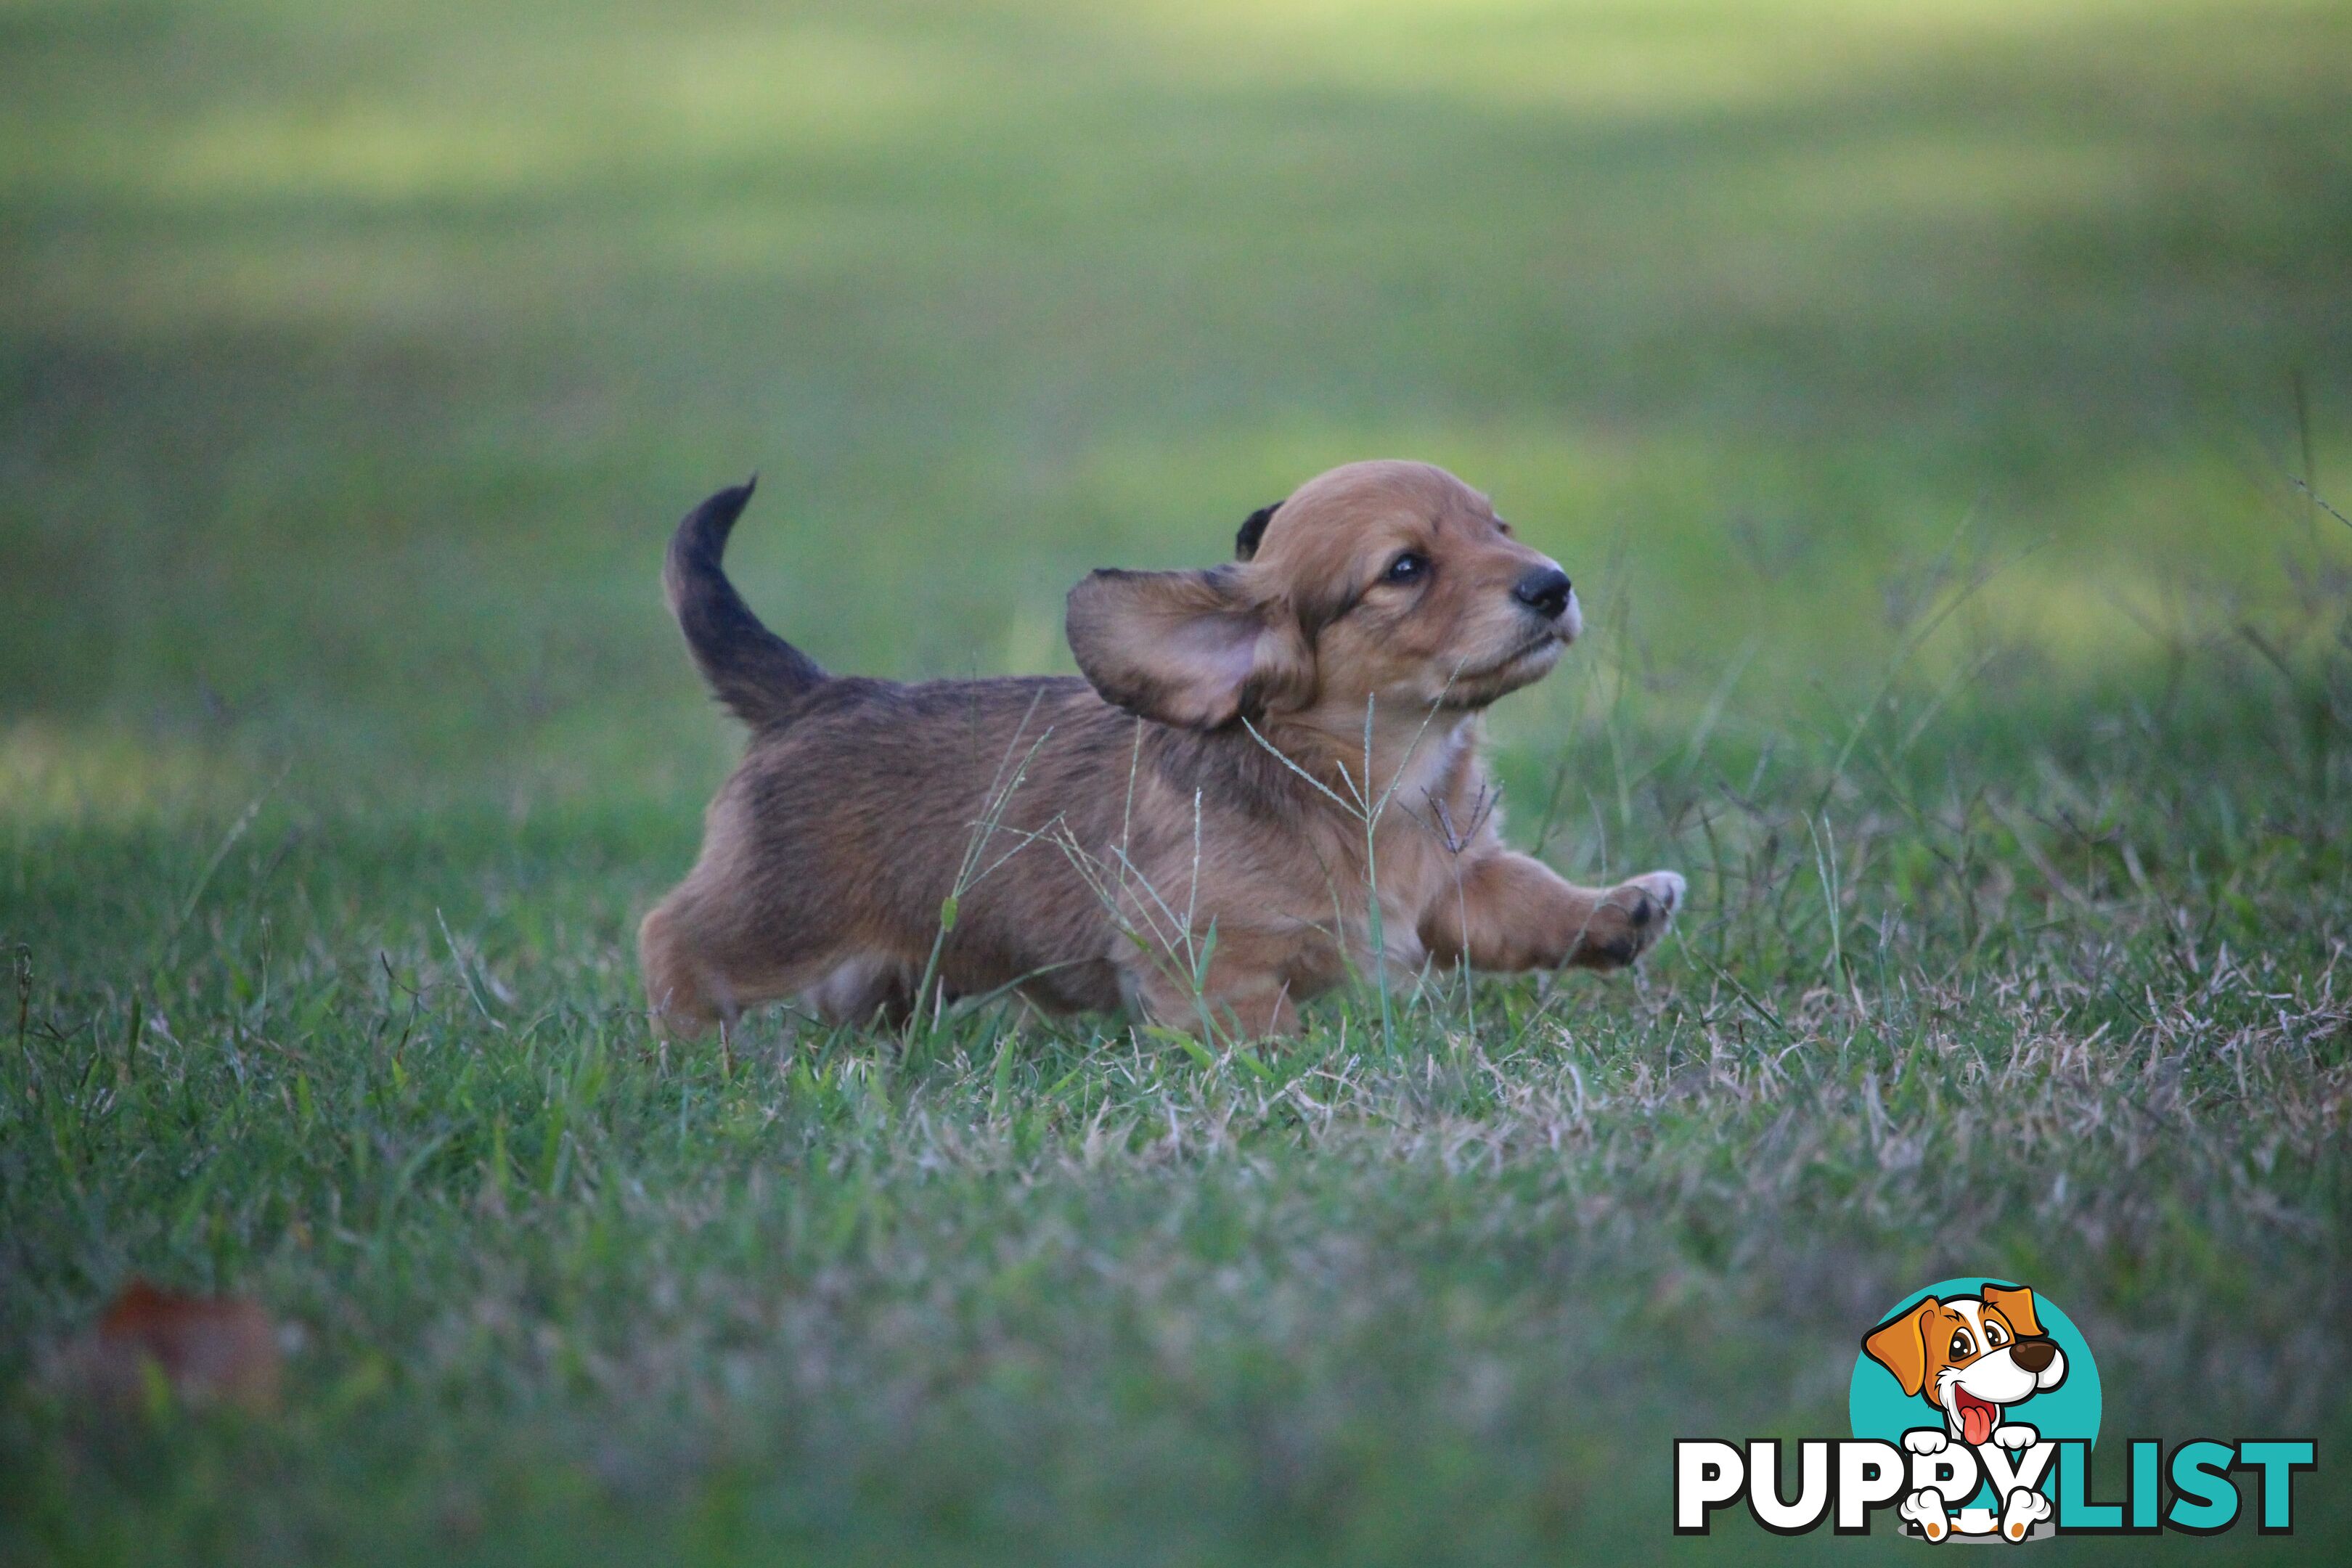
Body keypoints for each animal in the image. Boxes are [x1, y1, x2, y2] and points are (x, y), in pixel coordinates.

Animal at [634, 460, 1683, 1034]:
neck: (1373, 781)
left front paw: (1623, 908)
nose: (1553, 583)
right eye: (1406, 569)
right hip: (778, 915)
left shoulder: (1458, 886)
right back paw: (698, 1047)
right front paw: (1318, 1061)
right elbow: (1265, 1022)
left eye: (1499, 528)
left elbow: (1534, 900)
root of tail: (816, 694)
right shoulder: (1201, 952)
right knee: (670, 936)